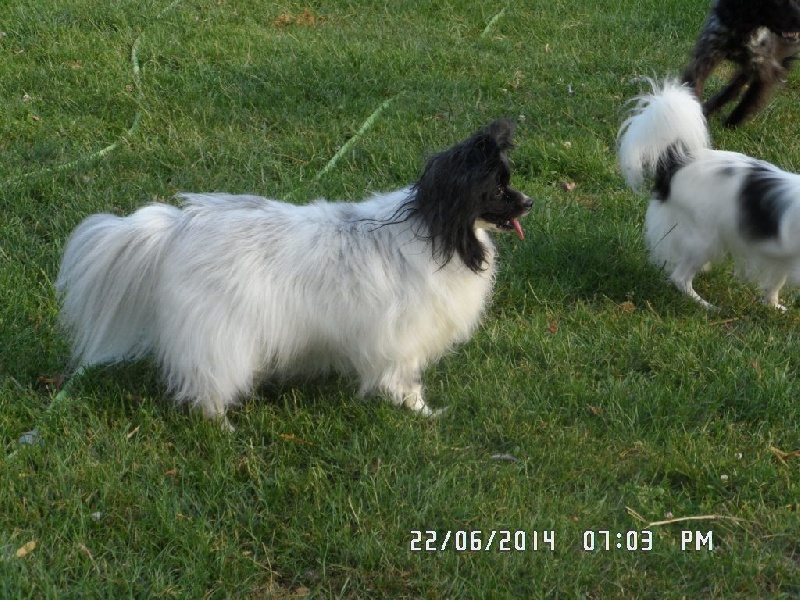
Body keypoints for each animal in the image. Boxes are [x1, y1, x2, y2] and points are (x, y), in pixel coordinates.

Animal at [56, 119, 532, 428]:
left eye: (508, 183)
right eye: (496, 189)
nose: (529, 202)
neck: (437, 229)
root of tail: (180, 227)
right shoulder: (403, 340)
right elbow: (407, 383)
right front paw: (422, 413)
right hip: (223, 334)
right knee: (209, 383)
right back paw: (221, 426)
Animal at [620, 78, 800, 310]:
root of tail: (677, 162)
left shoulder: (782, 257)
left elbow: (775, 282)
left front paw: (773, 306)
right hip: (704, 241)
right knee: (680, 278)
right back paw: (705, 306)